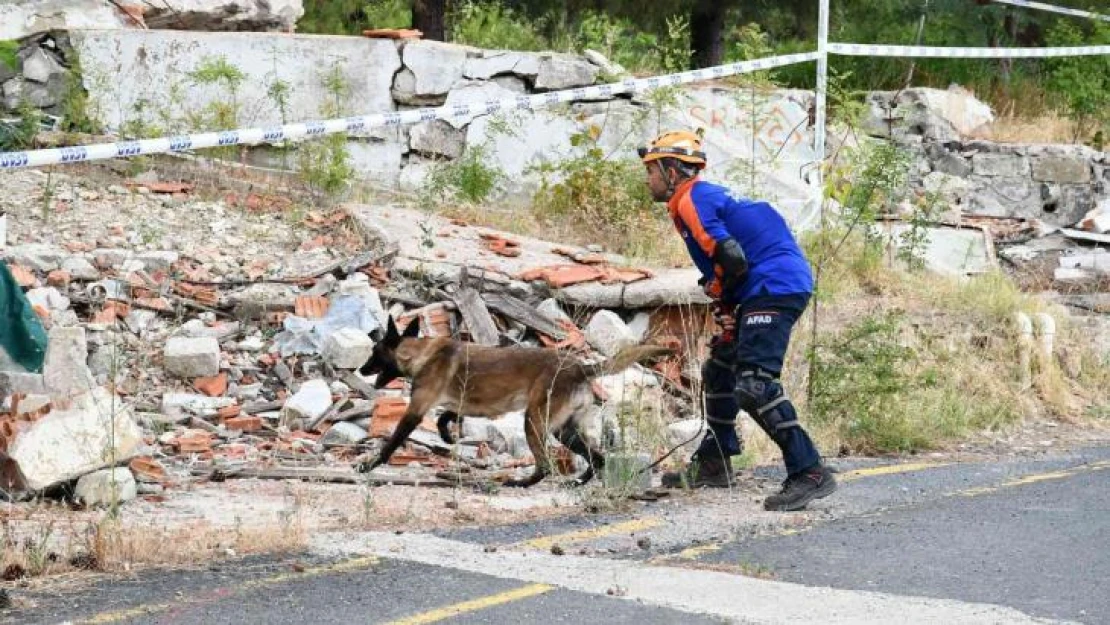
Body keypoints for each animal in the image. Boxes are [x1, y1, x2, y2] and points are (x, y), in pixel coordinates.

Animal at [357, 317, 666, 488]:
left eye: (374, 352)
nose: (360, 369)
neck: (421, 354)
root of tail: (579, 367)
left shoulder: (415, 412)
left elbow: (392, 442)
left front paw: (369, 465)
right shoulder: (462, 405)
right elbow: (447, 416)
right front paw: (447, 435)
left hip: (534, 423)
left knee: (546, 465)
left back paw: (521, 483)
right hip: (563, 430)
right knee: (597, 457)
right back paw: (578, 482)